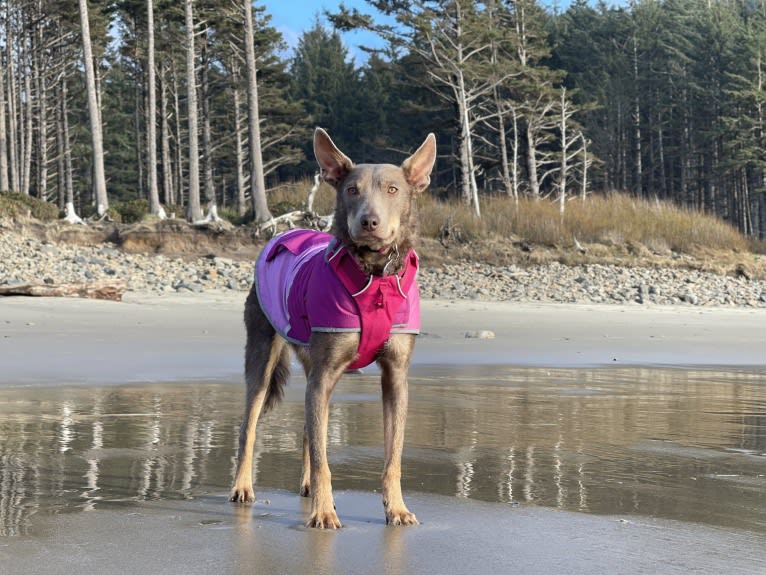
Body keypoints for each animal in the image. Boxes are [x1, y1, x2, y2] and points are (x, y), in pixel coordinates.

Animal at [230, 128, 438, 528]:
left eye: (393, 189)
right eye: (352, 190)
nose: (369, 222)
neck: (374, 276)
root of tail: (282, 234)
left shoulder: (395, 375)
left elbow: (392, 456)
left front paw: (396, 508)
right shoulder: (325, 372)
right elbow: (321, 456)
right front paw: (323, 512)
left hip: (314, 364)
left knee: (309, 431)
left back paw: (307, 487)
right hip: (263, 356)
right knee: (250, 426)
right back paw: (243, 487)